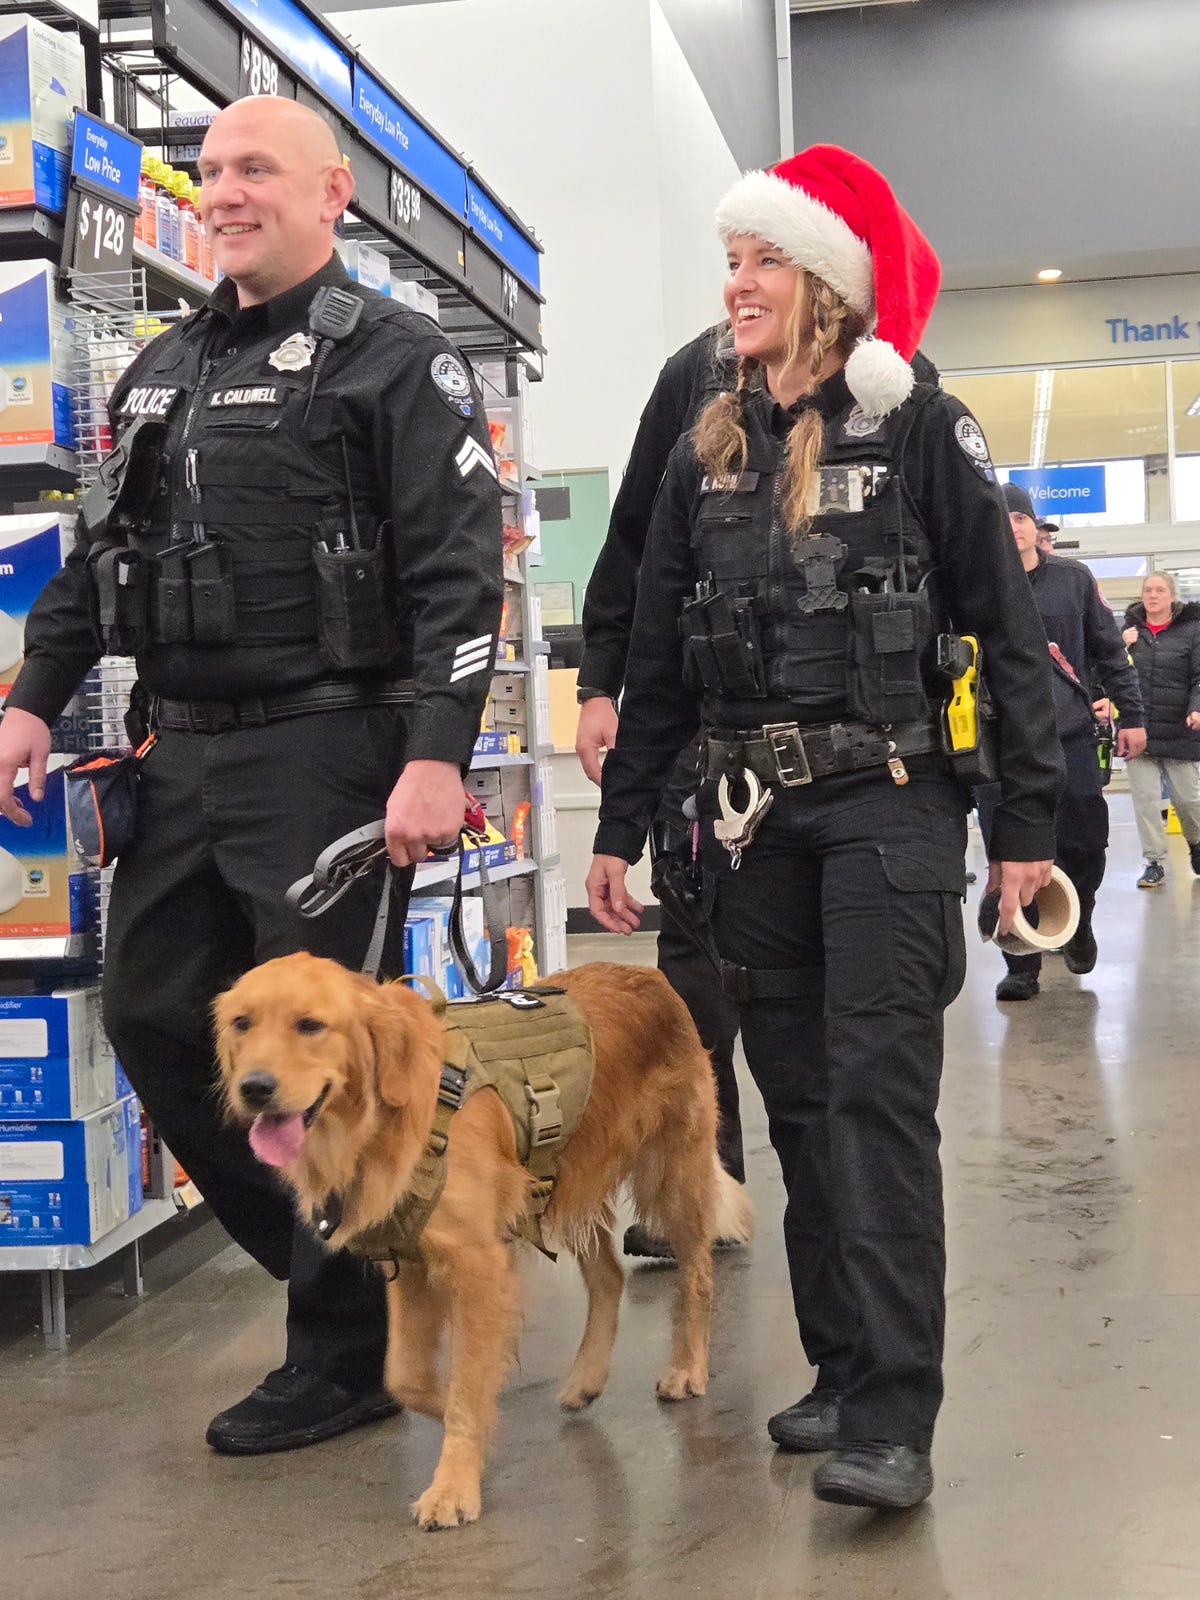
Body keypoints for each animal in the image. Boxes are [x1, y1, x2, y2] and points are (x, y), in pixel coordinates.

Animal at [214, 953, 752, 1529]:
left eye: (310, 1025)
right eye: (241, 1024)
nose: (254, 1088)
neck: (392, 1115)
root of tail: (648, 975)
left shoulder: (477, 1266)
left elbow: (467, 1384)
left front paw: (453, 1485)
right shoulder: (408, 1259)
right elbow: (406, 1376)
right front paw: (467, 1428)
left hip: (670, 1176)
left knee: (696, 1275)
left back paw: (686, 1368)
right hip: (562, 1183)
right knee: (608, 1278)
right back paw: (586, 1377)